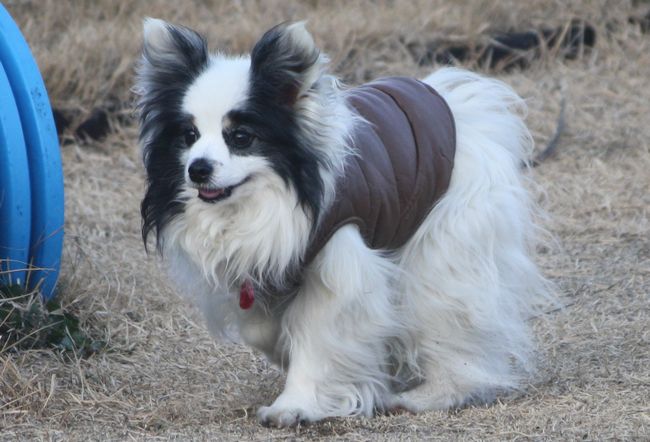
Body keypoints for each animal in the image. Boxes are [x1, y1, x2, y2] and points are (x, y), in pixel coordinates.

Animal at [135, 19, 549, 427]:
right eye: (189, 136)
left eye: (240, 137)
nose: (197, 169)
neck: (264, 201)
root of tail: (456, 101)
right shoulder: (260, 270)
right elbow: (261, 327)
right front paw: (286, 349)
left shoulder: (338, 260)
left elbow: (317, 334)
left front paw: (295, 405)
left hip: (444, 238)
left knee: (446, 308)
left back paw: (432, 394)